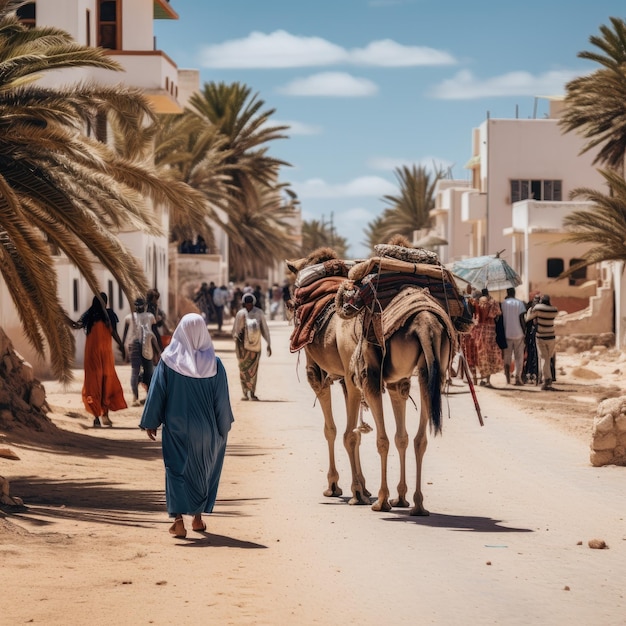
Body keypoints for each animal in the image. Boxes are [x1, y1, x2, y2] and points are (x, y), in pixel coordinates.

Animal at [286, 243, 454, 512]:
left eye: (293, 303)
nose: (292, 307)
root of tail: (426, 321)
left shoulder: (324, 372)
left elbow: (339, 431)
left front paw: (343, 487)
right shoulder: (369, 378)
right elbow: (390, 435)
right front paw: (367, 489)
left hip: (369, 374)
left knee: (380, 437)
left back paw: (383, 500)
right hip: (425, 371)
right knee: (415, 437)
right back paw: (413, 502)